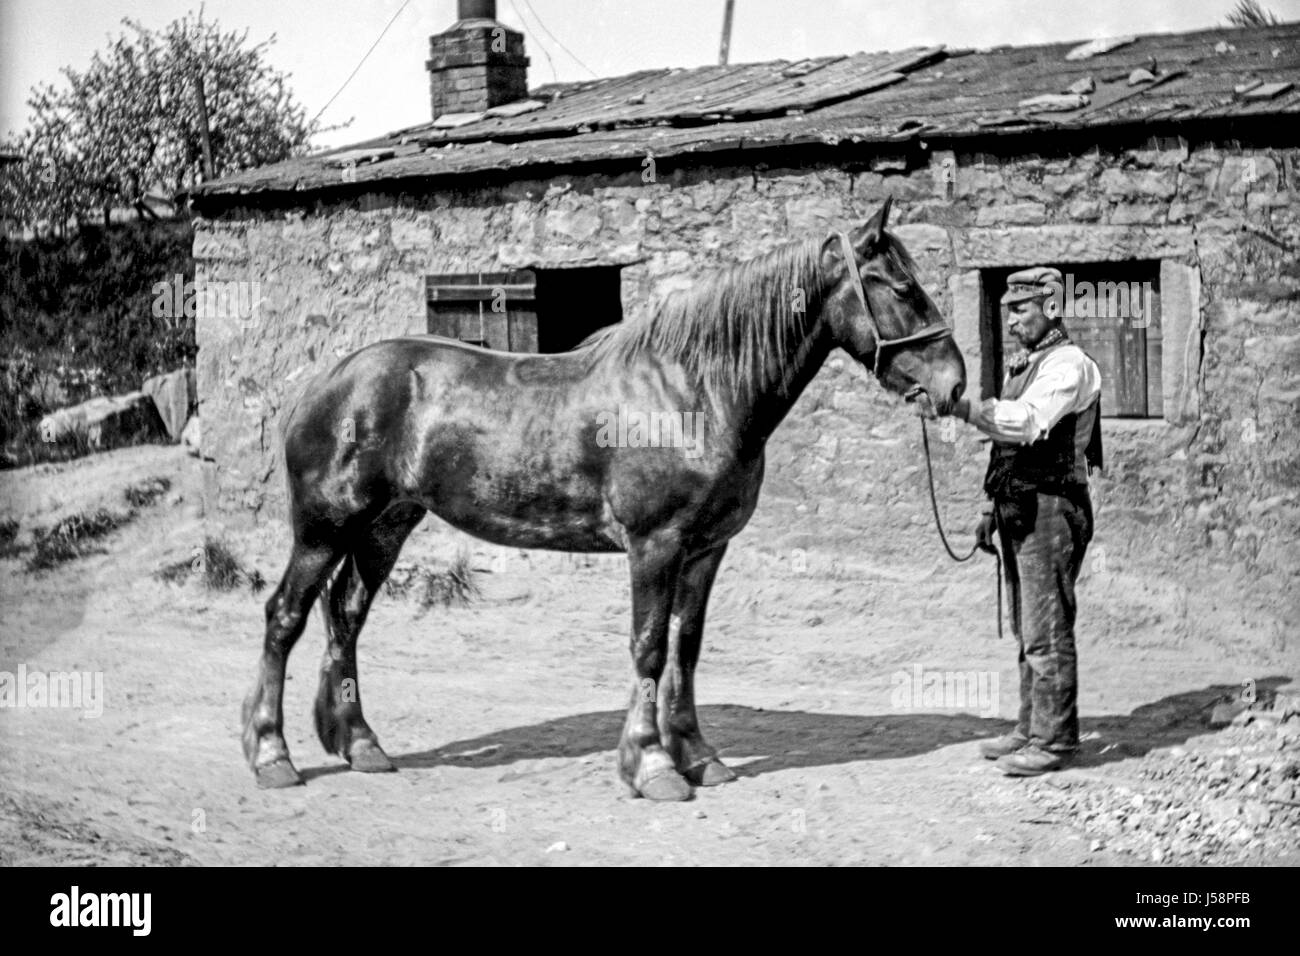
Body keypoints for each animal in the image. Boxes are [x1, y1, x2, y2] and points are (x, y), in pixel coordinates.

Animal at [244, 196, 967, 801]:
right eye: (902, 288)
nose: (955, 385)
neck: (693, 391)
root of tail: (326, 382)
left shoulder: (706, 552)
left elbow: (686, 649)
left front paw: (699, 757)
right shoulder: (655, 546)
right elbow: (648, 648)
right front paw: (652, 765)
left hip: (385, 527)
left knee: (346, 614)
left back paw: (360, 743)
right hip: (323, 529)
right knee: (286, 616)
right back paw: (271, 754)